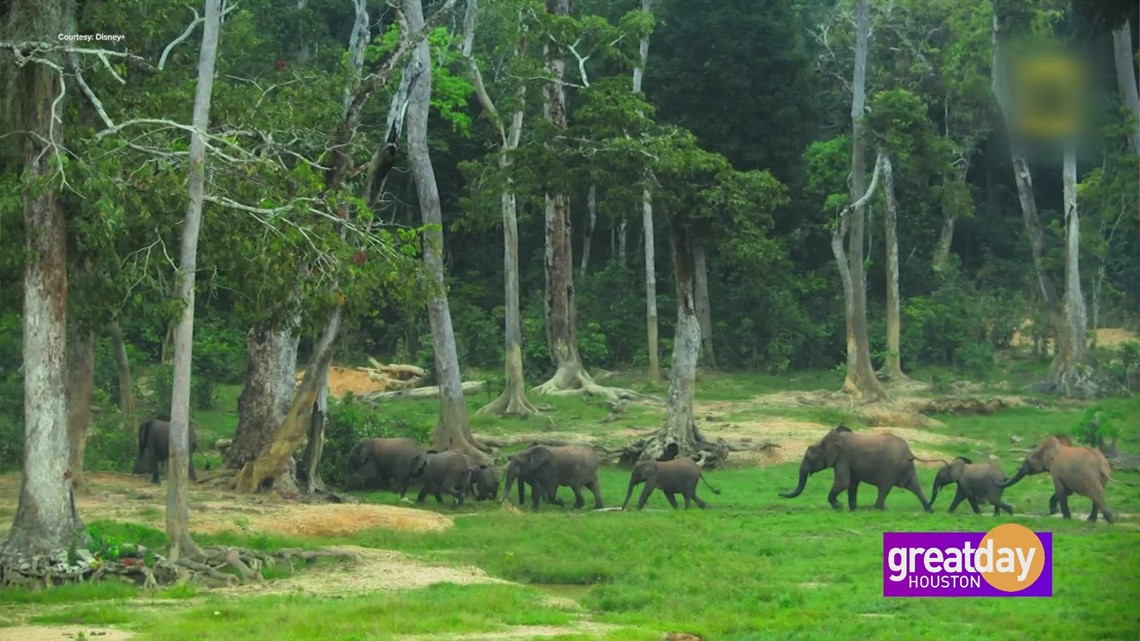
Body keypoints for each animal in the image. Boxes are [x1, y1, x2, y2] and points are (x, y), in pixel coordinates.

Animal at [779, 424, 930, 508]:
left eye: (810, 458)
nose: (779, 494)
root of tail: (909, 453)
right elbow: (851, 484)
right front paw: (851, 508)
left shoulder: (843, 457)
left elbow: (843, 483)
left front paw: (839, 506)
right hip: (907, 468)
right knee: (915, 486)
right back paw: (929, 509)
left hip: (891, 468)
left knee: (884, 487)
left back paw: (877, 508)